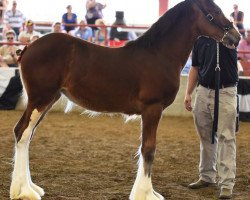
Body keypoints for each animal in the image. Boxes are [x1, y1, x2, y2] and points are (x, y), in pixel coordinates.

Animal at [10, 0, 240, 200]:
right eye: (213, 12)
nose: (236, 37)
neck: (159, 54)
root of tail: (28, 47)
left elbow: (146, 149)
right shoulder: (152, 109)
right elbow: (148, 150)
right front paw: (146, 194)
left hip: (47, 100)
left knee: (27, 136)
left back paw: (31, 188)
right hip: (40, 99)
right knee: (22, 132)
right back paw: (24, 191)